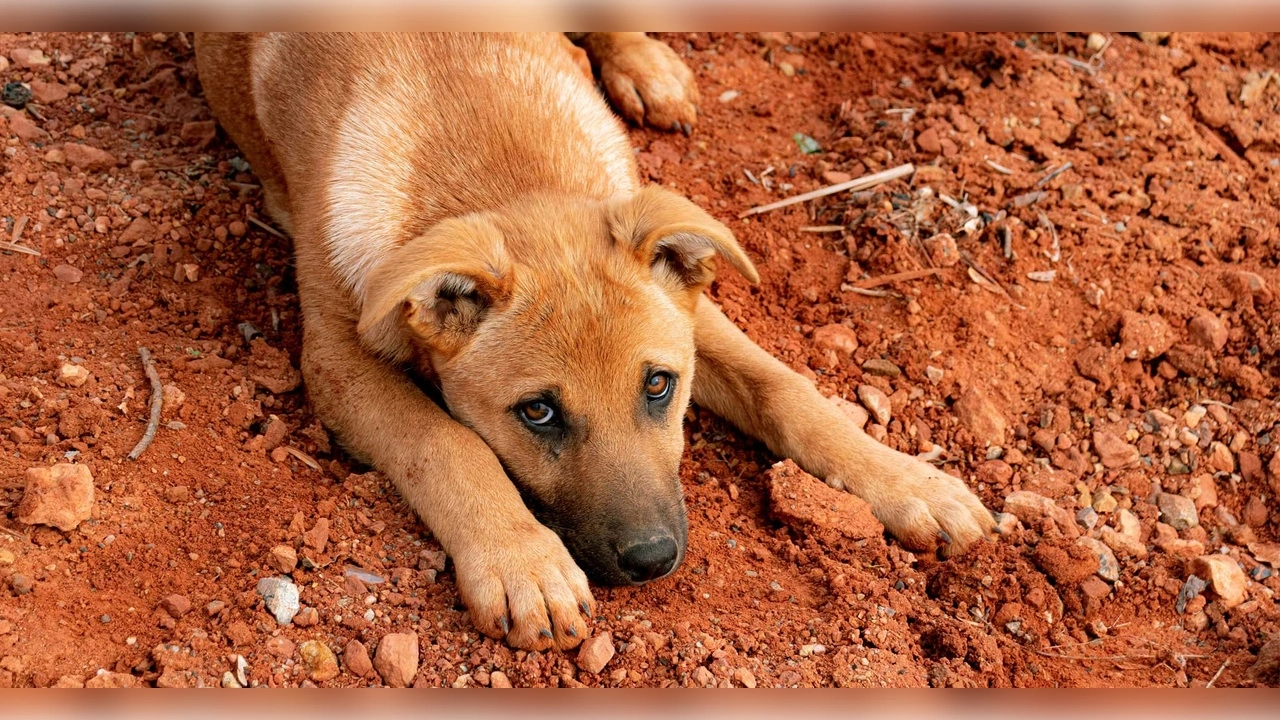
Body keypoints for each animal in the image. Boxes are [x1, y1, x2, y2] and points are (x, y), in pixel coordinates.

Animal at [192, 32, 998, 650]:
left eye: (659, 385)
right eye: (537, 412)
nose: (653, 561)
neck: (497, 164)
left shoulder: (692, 314)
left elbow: (788, 389)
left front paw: (911, 484)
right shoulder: (335, 359)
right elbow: (446, 443)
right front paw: (523, 563)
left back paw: (648, 68)